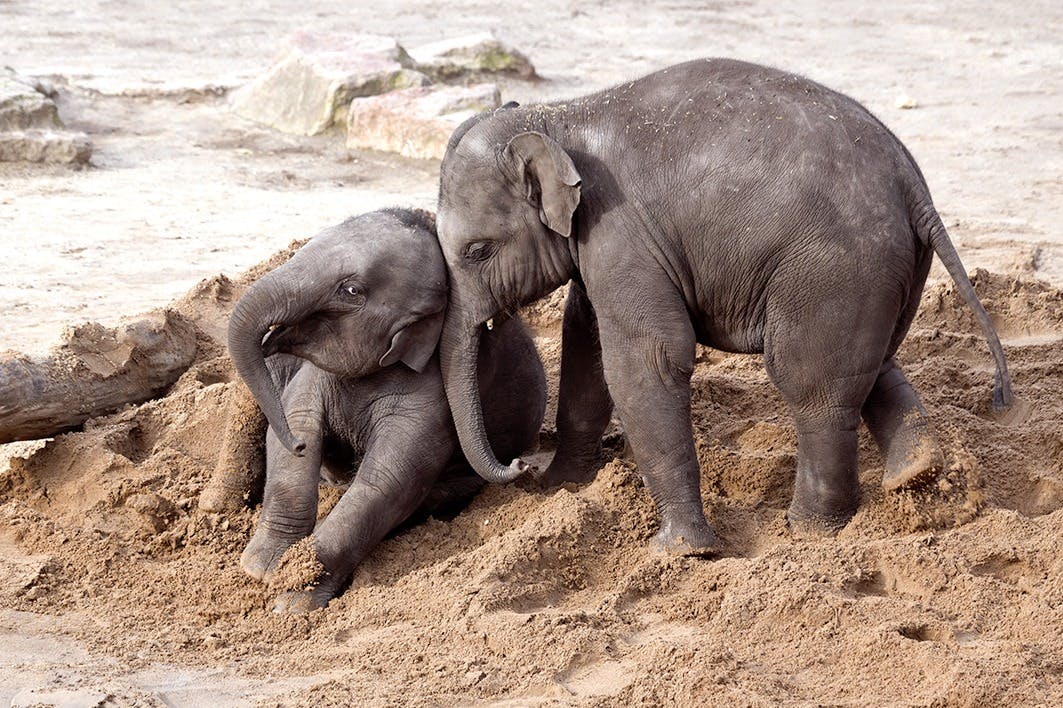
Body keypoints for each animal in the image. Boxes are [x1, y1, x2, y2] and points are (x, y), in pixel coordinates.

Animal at [227, 208, 546, 611]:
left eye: (351, 290)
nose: (521, 465)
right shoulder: (315, 377)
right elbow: (298, 423)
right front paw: (259, 567)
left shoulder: (433, 393)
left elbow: (387, 480)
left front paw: (292, 599)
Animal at [432, 58, 1013, 553]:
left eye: (476, 251)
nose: (520, 468)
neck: (558, 117)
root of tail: (913, 184)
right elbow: (585, 338)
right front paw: (563, 488)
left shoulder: (621, 231)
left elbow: (648, 358)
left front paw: (682, 551)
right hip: (882, 273)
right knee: (870, 364)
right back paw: (918, 472)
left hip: (832, 268)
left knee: (810, 383)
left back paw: (810, 529)